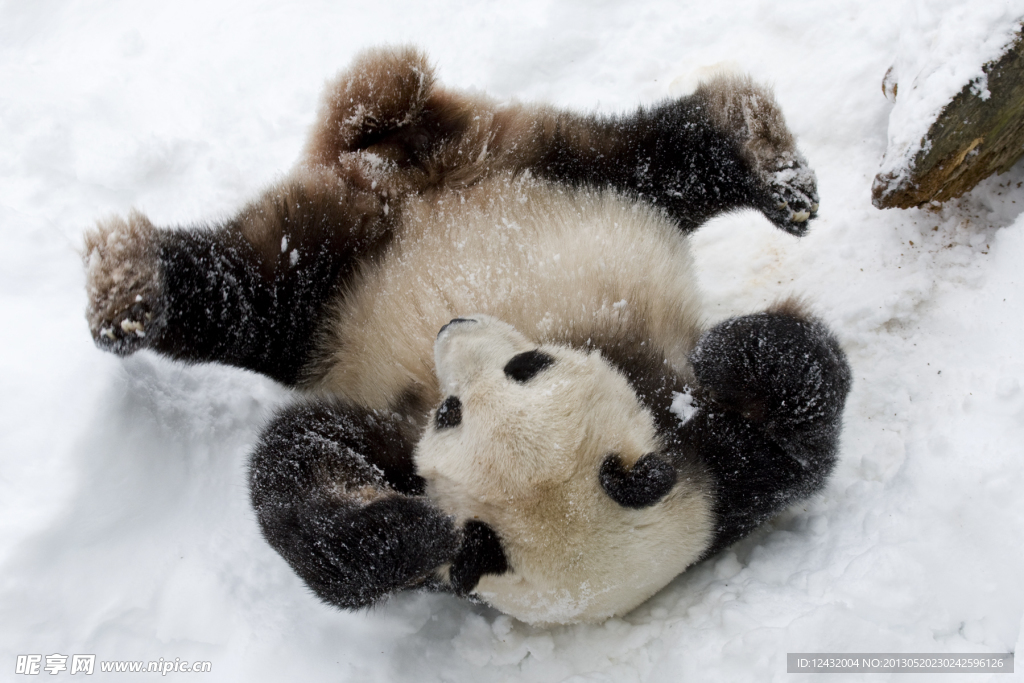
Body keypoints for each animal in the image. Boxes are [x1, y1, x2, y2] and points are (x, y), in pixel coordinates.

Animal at [79, 45, 851, 626]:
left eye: (521, 366)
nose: (454, 325)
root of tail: (420, 176)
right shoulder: (404, 437)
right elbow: (302, 469)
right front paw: (412, 535)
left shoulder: (721, 488)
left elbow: (801, 410)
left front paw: (725, 360)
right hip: (388, 250)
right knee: (245, 293)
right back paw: (130, 292)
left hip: (532, 174)